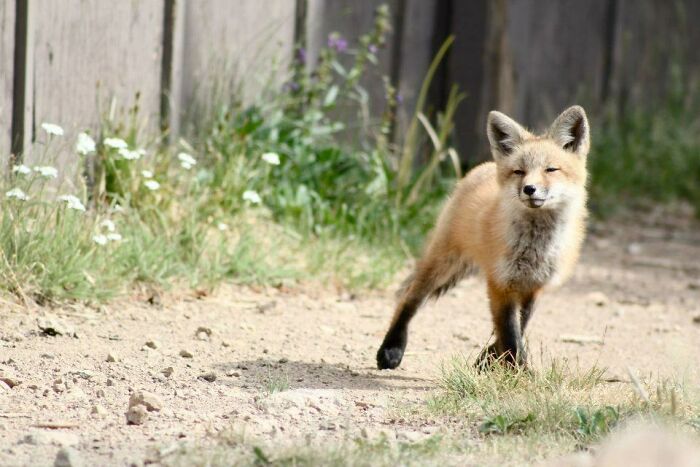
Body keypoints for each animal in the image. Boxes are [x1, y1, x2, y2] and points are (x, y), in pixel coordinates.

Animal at [377, 105, 590, 370]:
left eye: (551, 169)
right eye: (519, 172)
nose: (529, 189)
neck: (534, 248)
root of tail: (483, 166)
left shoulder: (533, 286)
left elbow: (517, 327)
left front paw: (490, 361)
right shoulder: (501, 283)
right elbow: (510, 335)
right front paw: (517, 371)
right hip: (442, 263)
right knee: (408, 300)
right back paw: (391, 349)